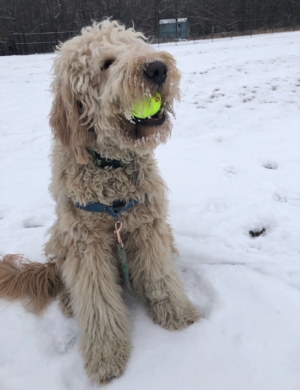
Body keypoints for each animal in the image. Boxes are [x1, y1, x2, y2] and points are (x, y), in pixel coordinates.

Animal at [0, 20, 202, 384]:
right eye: (106, 63)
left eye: (138, 47)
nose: (157, 68)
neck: (112, 171)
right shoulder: (85, 244)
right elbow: (96, 303)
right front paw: (106, 355)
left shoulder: (148, 226)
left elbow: (161, 274)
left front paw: (178, 314)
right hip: (60, 236)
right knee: (66, 277)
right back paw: (69, 300)